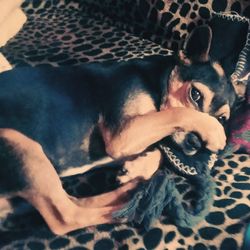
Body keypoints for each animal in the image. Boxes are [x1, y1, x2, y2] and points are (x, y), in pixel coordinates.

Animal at [0, 25, 239, 234]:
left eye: (222, 118)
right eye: (195, 94)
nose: (197, 144)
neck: (156, 80)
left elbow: (161, 148)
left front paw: (137, 167)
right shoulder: (123, 134)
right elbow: (175, 115)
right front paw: (213, 131)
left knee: (73, 201)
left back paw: (134, 189)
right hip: (14, 140)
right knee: (66, 217)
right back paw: (134, 207)